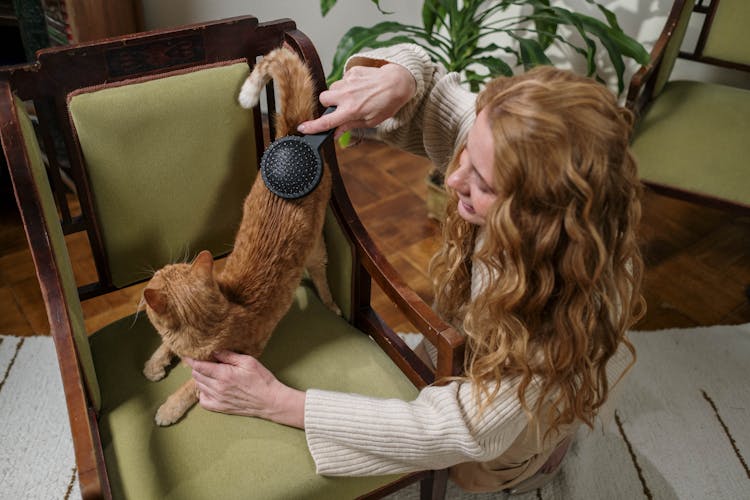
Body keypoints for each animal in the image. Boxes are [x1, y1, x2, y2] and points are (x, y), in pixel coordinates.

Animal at [142, 47, 340, 426]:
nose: (155, 270)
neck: (224, 310)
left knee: (323, 277)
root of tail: (295, 138)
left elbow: (190, 386)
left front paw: (168, 407)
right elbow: (164, 344)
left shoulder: (227, 364)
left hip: (316, 251)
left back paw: (332, 304)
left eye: (159, 275)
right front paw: (155, 363)